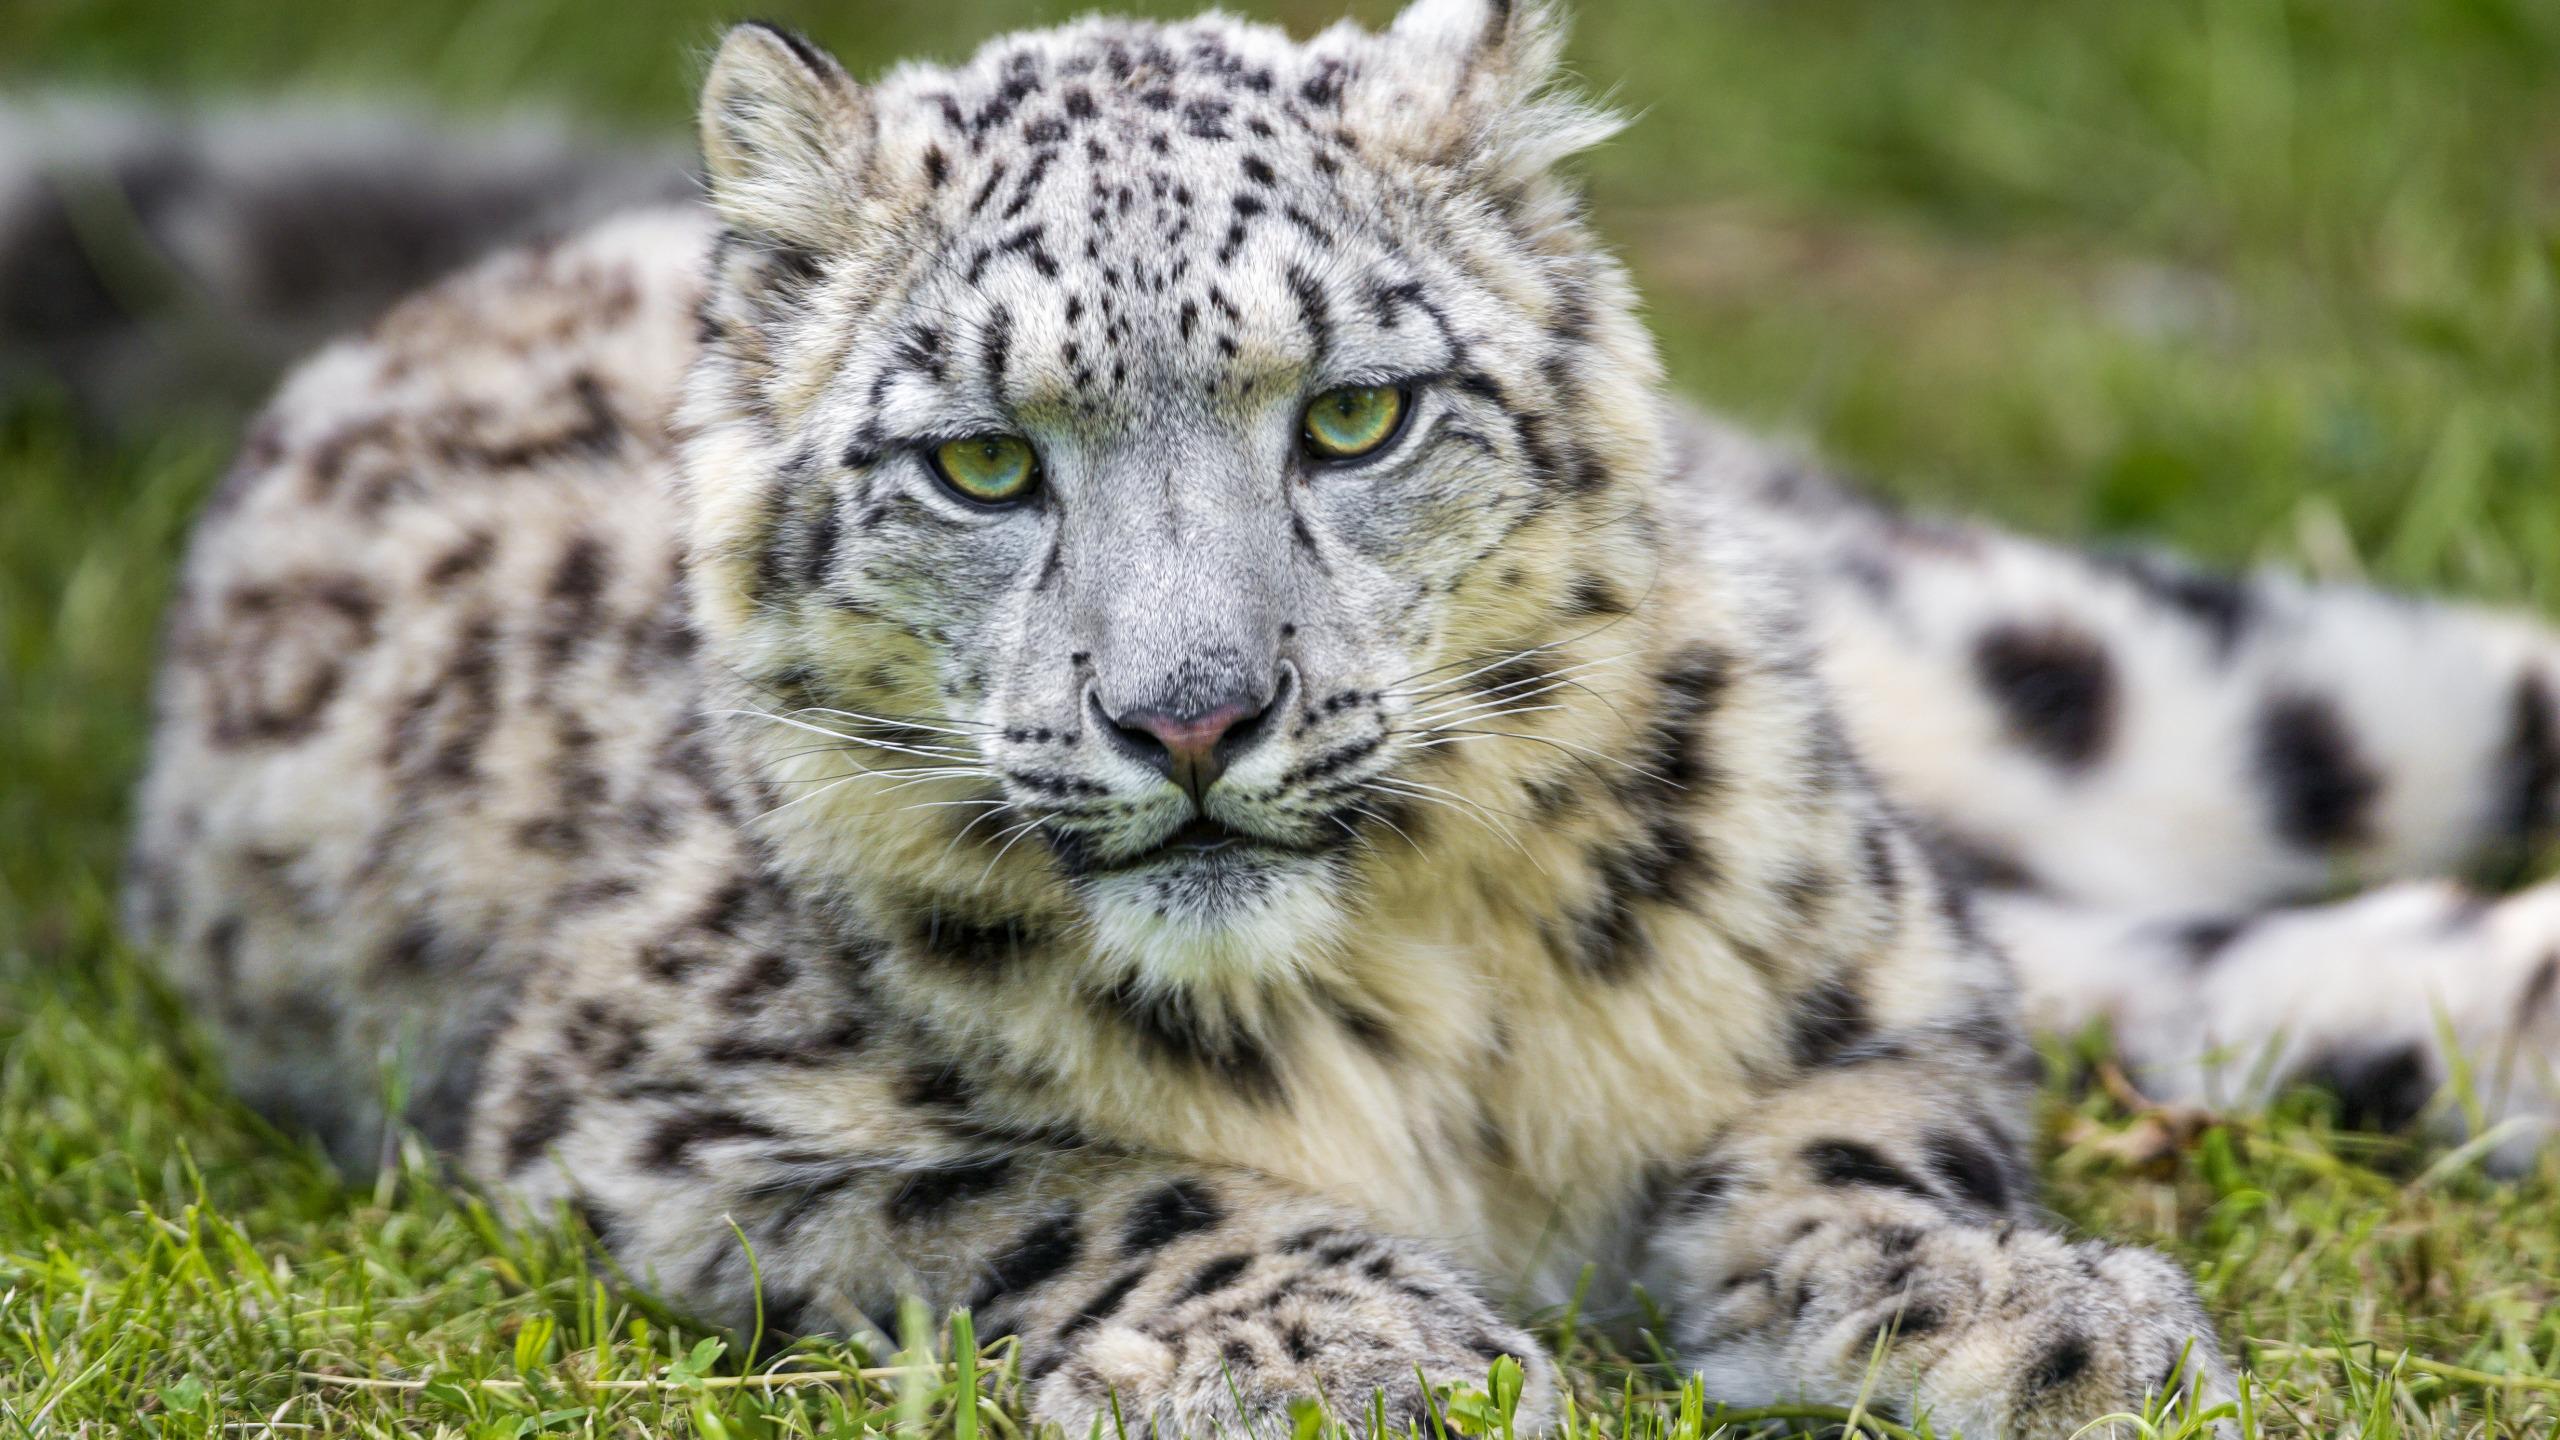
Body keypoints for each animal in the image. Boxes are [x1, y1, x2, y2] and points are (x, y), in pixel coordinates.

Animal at [123, 1, 2560, 1434]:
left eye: (1358, 415)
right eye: (980, 464)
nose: (1194, 718)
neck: (1418, 1006)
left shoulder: (1875, 957)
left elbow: (1859, 1119)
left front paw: (2010, 1316)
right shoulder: (659, 1098)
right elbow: (1056, 1181)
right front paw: (1359, 1348)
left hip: (2073, 677)